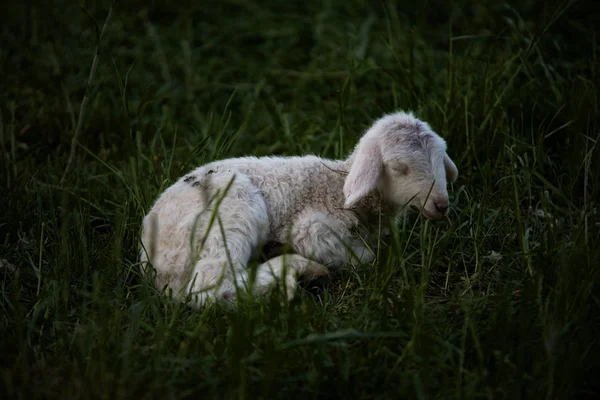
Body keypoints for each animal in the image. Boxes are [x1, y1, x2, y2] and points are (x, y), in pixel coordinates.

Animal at [139, 111, 460, 308]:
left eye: (441, 158)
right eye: (398, 167)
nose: (441, 205)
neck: (337, 185)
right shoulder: (312, 229)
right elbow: (366, 257)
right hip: (231, 211)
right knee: (209, 286)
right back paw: (293, 272)